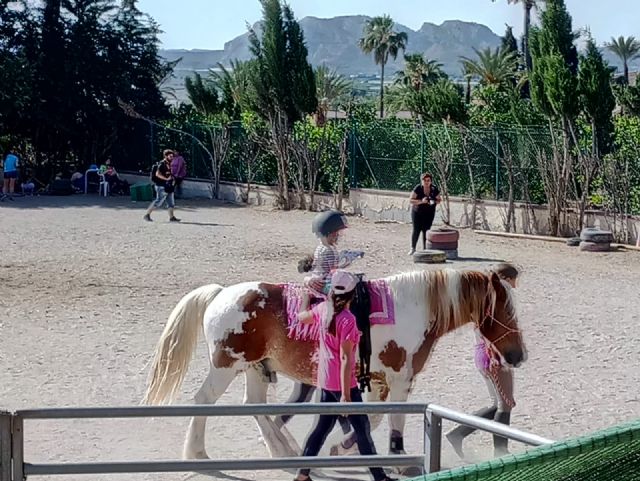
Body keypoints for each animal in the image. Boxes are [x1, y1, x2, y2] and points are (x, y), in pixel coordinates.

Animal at [143, 268, 526, 462]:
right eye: (507, 309)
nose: (518, 355)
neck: (411, 308)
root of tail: (221, 293)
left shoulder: (378, 382)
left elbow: (371, 418)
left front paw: (344, 446)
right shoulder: (399, 380)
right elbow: (390, 419)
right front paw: (392, 454)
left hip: (255, 368)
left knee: (254, 407)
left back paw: (283, 449)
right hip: (226, 365)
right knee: (205, 401)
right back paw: (197, 452)